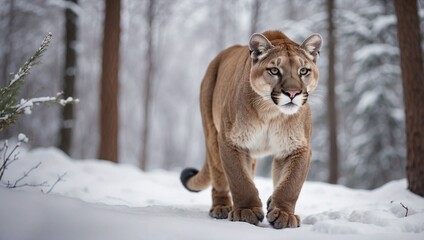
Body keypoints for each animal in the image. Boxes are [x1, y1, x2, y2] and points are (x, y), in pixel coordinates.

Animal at [179, 30, 322, 229]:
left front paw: (284, 214)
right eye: (274, 70)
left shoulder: (296, 147)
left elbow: (290, 184)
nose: (293, 93)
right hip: (212, 136)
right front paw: (246, 211)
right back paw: (221, 207)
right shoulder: (230, 141)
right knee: (219, 176)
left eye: (303, 71)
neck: (271, 113)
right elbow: (240, 180)